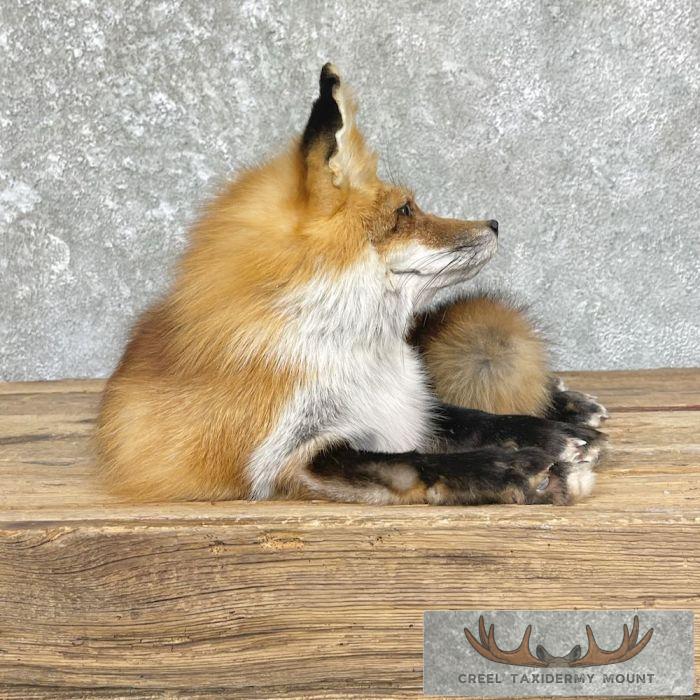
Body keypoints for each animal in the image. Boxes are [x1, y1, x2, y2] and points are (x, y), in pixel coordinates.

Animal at [97, 64, 608, 506]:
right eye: (405, 211)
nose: (495, 224)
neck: (354, 359)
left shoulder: (404, 403)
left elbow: (468, 417)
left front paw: (551, 434)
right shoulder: (283, 462)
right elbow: (412, 460)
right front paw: (523, 470)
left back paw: (568, 402)